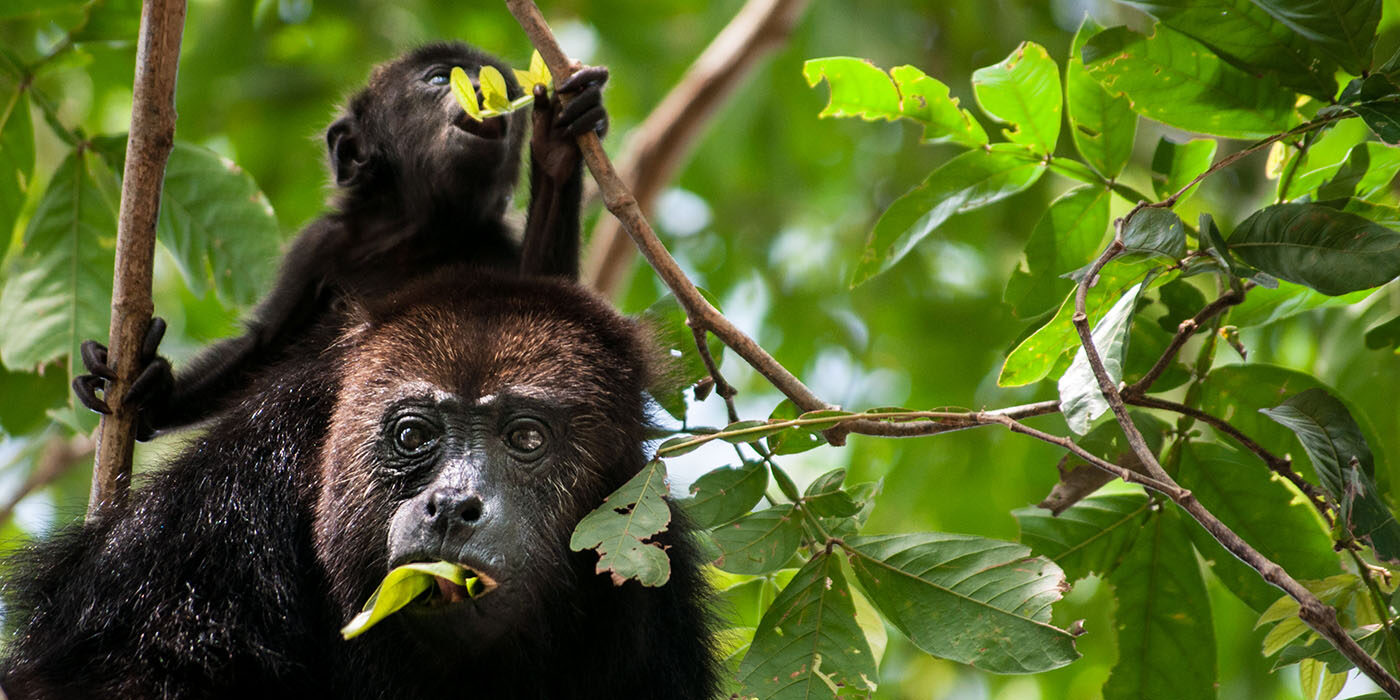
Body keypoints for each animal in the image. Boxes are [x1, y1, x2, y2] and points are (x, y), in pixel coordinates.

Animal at [71, 42, 607, 436]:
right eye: (439, 78)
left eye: (504, 85)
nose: (479, 87)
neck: (420, 231)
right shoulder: (320, 244)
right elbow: (266, 344)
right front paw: (155, 393)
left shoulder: (496, 247)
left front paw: (558, 145)